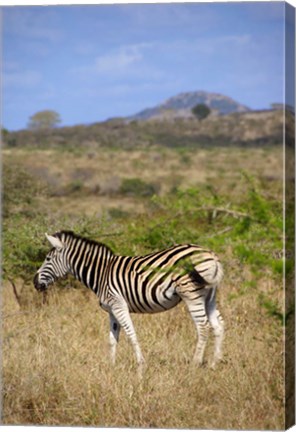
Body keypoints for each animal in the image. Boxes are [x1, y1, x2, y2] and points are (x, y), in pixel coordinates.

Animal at [34, 231, 224, 372]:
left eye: (48, 259)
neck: (101, 272)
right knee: (218, 325)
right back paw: (214, 363)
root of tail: (210, 254)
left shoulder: (118, 304)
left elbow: (131, 333)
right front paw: (111, 367)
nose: (35, 282)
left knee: (203, 326)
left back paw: (195, 364)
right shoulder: (111, 309)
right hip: (209, 295)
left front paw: (140, 365)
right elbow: (112, 338)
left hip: (191, 293)